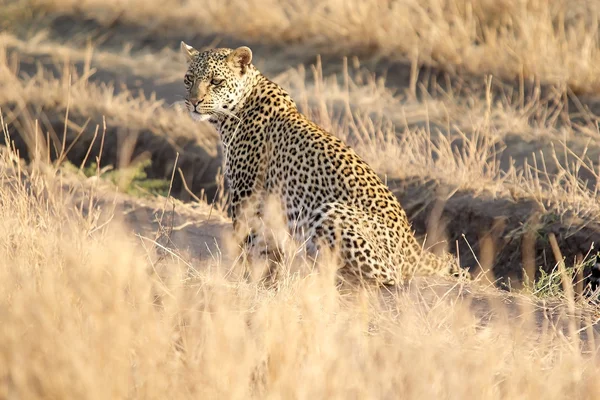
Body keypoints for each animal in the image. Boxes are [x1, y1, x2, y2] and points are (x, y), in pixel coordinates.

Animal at [180, 42, 462, 286]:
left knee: (387, 277)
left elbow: (247, 240)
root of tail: (414, 247)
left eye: (216, 81)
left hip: (329, 210)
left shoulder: (246, 193)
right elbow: (264, 245)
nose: (193, 102)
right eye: (189, 79)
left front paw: (242, 276)